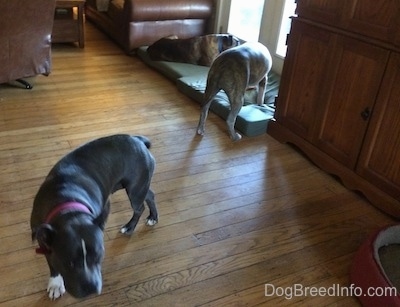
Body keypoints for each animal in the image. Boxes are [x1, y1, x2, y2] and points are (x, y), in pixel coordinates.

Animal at [30, 135, 158, 300]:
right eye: (68, 263)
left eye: (99, 255)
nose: (90, 287)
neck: (68, 205)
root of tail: (137, 139)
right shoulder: (43, 239)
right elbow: (52, 264)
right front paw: (56, 283)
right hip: (138, 187)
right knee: (150, 195)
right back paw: (153, 217)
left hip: (135, 189)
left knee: (139, 207)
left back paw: (130, 226)